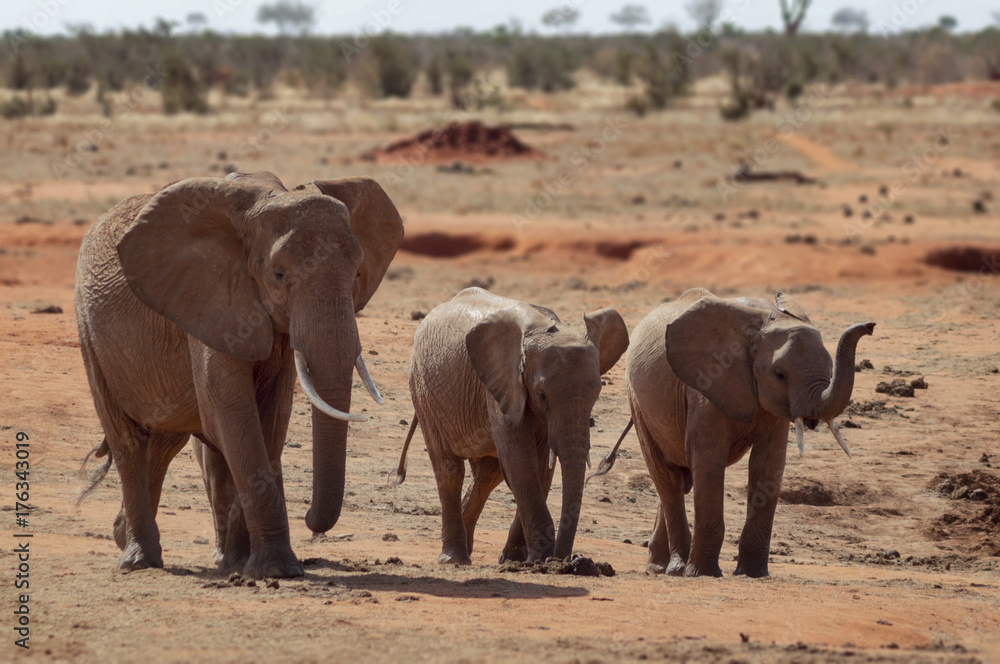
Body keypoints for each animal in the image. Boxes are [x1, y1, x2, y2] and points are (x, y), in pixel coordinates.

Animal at [74, 170, 403, 578]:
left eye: (358, 273)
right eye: (278, 274)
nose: (310, 519)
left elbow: (272, 419)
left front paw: (246, 563)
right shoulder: (211, 299)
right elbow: (233, 412)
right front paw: (275, 571)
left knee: (165, 443)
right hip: (88, 329)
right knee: (128, 440)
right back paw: (138, 560)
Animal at [391, 287, 629, 565]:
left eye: (597, 394)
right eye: (542, 395)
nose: (563, 561)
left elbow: (540, 467)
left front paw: (516, 559)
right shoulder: (502, 383)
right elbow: (521, 461)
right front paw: (538, 559)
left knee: (487, 475)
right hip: (422, 388)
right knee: (449, 469)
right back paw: (454, 559)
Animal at [622, 288, 874, 578]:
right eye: (780, 374)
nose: (870, 325)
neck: (767, 321)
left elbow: (768, 464)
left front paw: (752, 574)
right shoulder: (706, 385)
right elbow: (708, 461)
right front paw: (703, 573)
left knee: (678, 478)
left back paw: (661, 567)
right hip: (637, 400)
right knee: (667, 478)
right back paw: (675, 568)